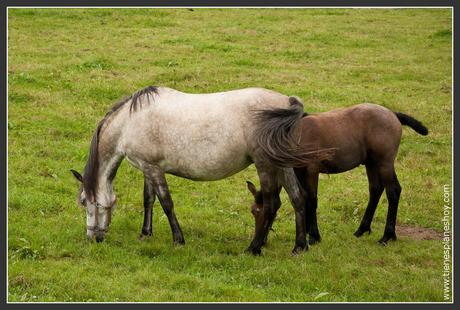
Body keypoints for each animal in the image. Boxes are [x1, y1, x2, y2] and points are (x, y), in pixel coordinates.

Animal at [69, 85, 330, 254]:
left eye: (84, 202)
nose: (93, 237)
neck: (130, 123)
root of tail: (288, 103)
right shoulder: (148, 168)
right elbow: (148, 200)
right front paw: (145, 233)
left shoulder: (153, 169)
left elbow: (166, 203)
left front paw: (178, 240)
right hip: (282, 165)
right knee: (298, 198)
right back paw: (299, 246)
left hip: (265, 164)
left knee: (271, 204)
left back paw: (254, 248)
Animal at [248, 103, 428, 246]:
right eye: (253, 211)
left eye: (259, 212)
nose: (261, 241)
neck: (296, 135)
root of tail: (393, 114)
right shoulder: (299, 171)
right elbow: (303, 198)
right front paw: (306, 234)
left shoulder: (311, 170)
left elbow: (311, 200)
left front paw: (313, 236)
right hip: (371, 164)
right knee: (376, 190)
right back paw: (362, 229)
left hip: (385, 163)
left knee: (393, 191)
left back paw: (387, 236)